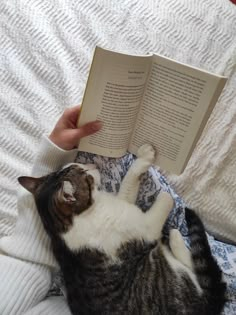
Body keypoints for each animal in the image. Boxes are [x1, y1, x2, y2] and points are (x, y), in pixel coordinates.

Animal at [18, 144, 227, 314]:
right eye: (84, 172)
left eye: (77, 165)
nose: (93, 165)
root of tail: (209, 306)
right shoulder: (144, 226)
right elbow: (164, 201)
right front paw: (166, 195)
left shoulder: (122, 203)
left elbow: (129, 182)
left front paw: (143, 156)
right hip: (174, 276)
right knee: (199, 270)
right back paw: (175, 237)